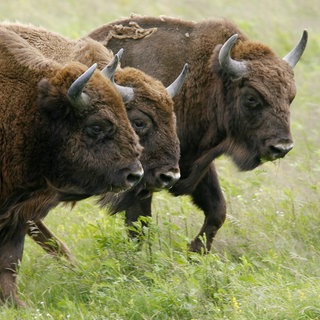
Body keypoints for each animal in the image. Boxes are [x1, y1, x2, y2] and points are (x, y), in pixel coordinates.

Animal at [87, 15, 308, 252]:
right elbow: (139, 223)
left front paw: (195, 252)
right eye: (251, 97)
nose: (282, 147)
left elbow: (218, 211)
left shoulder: (198, 165)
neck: (208, 80)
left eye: (291, 96)